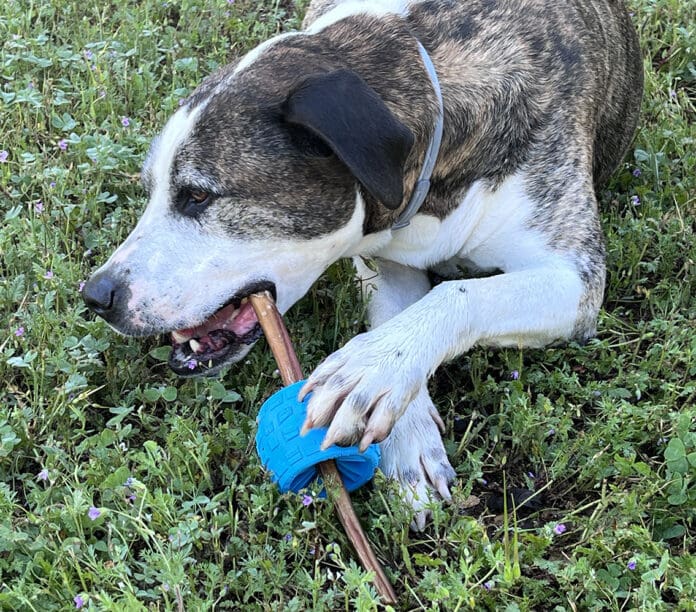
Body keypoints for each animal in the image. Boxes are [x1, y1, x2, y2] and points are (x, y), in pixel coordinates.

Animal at [84, 0, 644, 524]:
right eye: (151, 189)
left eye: (197, 195)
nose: (97, 296)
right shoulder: (386, 261)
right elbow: (396, 317)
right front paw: (407, 438)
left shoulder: (576, 279)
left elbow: (457, 296)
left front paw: (367, 369)